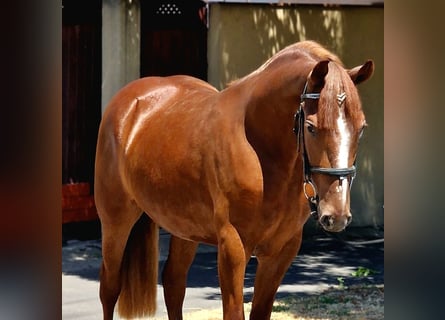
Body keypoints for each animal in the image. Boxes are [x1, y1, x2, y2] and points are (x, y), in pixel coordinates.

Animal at [95, 40, 372, 320]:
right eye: (311, 127)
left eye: (361, 128)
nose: (336, 215)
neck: (259, 149)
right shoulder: (233, 246)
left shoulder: (280, 252)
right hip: (116, 220)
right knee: (109, 287)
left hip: (185, 227)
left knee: (173, 282)